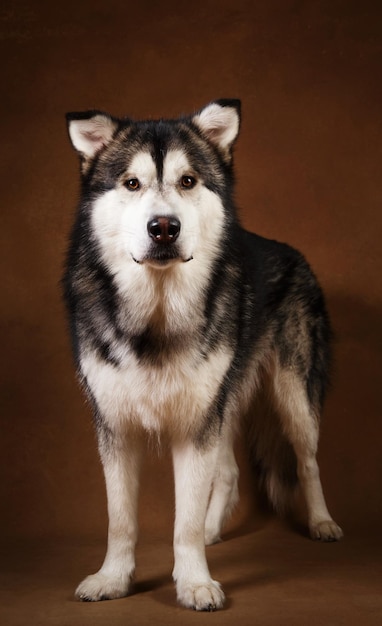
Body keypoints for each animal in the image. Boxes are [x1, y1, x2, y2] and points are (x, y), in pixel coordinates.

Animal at [63, 98, 344, 608]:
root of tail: (290, 251)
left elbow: (185, 521)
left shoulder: (196, 424)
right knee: (229, 472)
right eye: (131, 183)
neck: (157, 315)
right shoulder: (116, 425)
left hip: (292, 396)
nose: (163, 227)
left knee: (307, 460)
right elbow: (121, 519)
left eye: (188, 181)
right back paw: (216, 531)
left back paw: (320, 522)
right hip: (223, 401)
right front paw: (113, 578)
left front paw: (193, 581)